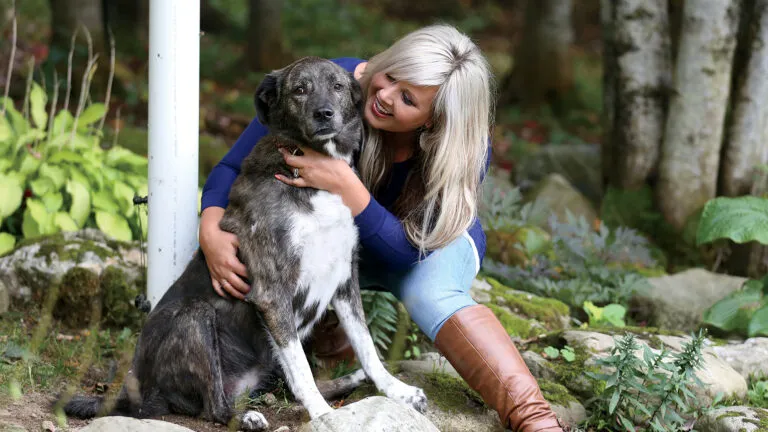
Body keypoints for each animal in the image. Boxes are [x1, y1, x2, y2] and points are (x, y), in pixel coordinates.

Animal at [60, 56, 428, 428]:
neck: (314, 180)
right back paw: (247, 416)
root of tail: (135, 390)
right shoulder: (272, 291)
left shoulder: (343, 279)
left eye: (337, 86)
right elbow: (302, 370)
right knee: (214, 406)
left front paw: (397, 390)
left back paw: (351, 380)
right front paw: (324, 415)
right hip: (195, 316)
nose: (324, 113)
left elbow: (366, 347)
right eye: (299, 89)